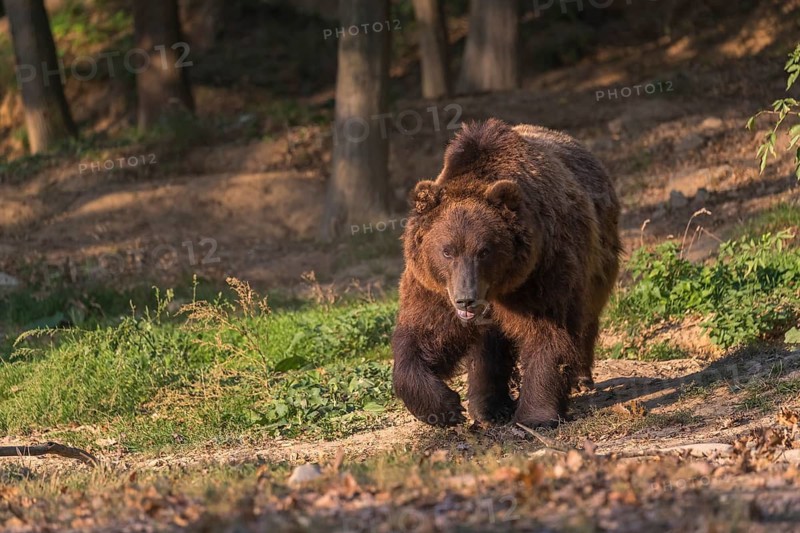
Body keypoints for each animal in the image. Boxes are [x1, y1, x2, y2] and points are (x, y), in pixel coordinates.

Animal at [391, 118, 621, 428]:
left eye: (484, 250)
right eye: (447, 251)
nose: (466, 299)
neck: (498, 289)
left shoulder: (542, 271)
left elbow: (549, 332)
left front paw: (537, 415)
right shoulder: (434, 286)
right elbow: (423, 336)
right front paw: (446, 407)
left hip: (597, 256)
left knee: (586, 315)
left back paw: (580, 378)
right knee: (488, 347)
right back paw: (487, 406)